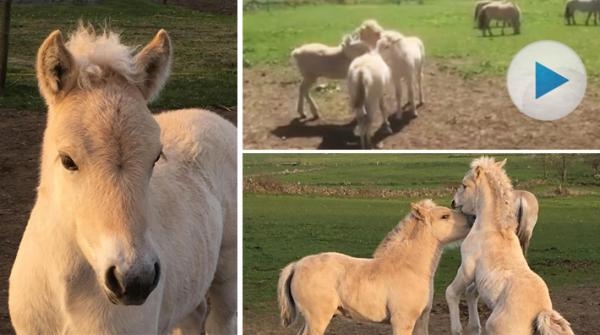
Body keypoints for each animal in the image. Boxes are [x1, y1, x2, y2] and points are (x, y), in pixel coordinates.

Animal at [278, 201, 474, 334]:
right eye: (444, 216)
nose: (472, 218)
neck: (410, 268)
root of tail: (296, 265)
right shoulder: (402, 321)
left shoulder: (421, 319)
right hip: (317, 318)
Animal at [446, 158, 572, 335]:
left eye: (464, 185)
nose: (453, 202)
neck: (492, 229)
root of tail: (541, 312)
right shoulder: (478, 279)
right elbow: (471, 294)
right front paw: (473, 327)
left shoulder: (467, 268)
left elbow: (451, 292)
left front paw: (457, 329)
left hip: (494, 326)